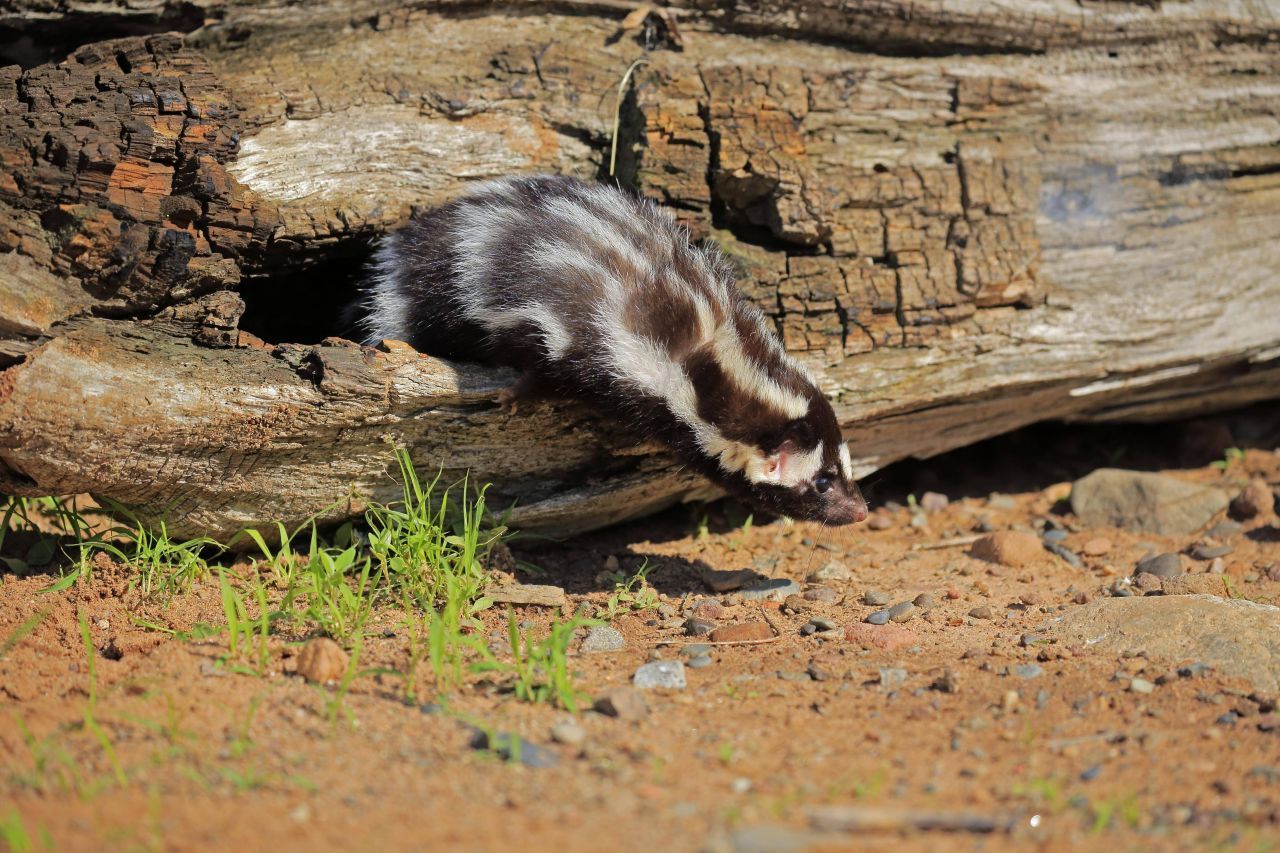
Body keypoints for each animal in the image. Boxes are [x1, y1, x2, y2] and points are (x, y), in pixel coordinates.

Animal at [355, 174, 865, 525]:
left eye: (844, 467)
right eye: (822, 482)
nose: (860, 510)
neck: (709, 356)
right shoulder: (601, 338)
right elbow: (550, 365)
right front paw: (516, 394)